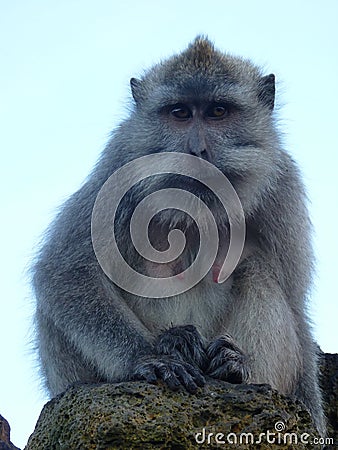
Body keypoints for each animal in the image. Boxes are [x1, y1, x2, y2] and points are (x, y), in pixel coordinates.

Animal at [31, 36, 324, 436]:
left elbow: (296, 305)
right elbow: (63, 271)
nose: (196, 150)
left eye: (218, 111)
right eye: (180, 113)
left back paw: (231, 367)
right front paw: (148, 357)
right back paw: (177, 343)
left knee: (260, 271)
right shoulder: (120, 165)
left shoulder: (283, 182)